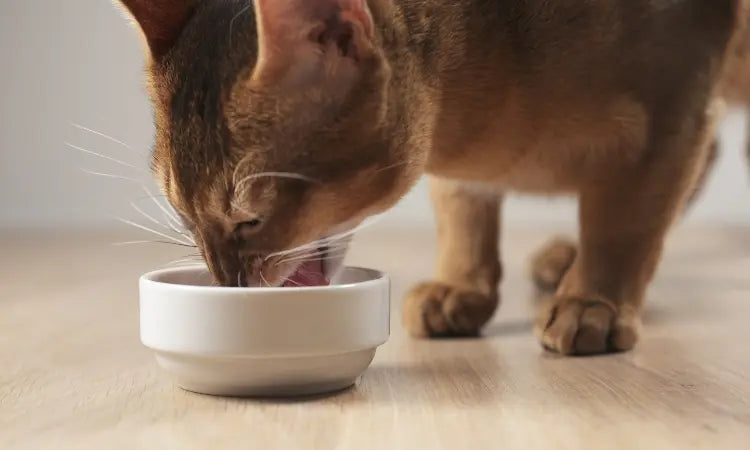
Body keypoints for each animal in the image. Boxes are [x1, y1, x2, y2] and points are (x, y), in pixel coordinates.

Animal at [116, 1, 750, 356]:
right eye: (183, 214)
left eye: (250, 219)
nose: (229, 287)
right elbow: (463, 205)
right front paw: (459, 286)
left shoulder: (676, 100)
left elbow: (626, 221)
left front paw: (595, 302)